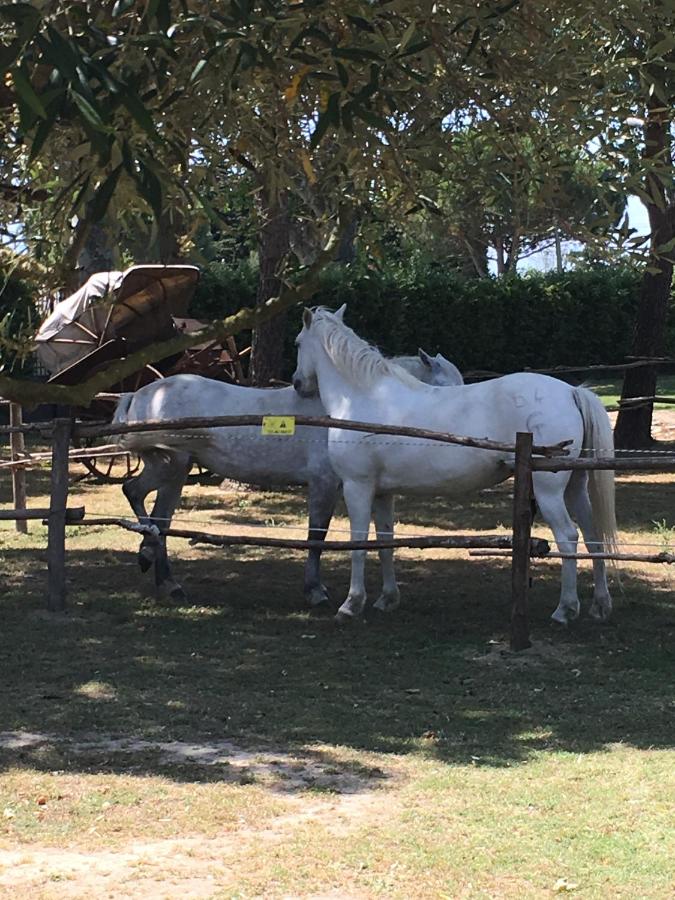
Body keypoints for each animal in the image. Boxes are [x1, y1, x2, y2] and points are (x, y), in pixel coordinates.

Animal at [114, 306, 463, 605]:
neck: (341, 404)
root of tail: (140, 394)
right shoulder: (324, 483)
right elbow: (317, 535)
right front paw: (315, 590)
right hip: (170, 466)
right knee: (135, 493)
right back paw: (151, 557)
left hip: (176, 471)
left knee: (159, 515)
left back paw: (165, 579)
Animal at [291, 306, 619, 627]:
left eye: (297, 343)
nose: (297, 383)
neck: (363, 397)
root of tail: (570, 392)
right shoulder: (382, 493)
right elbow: (385, 541)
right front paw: (387, 599)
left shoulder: (357, 487)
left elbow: (358, 543)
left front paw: (351, 604)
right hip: (575, 488)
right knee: (593, 537)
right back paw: (600, 605)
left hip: (549, 492)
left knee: (568, 538)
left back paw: (565, 609)